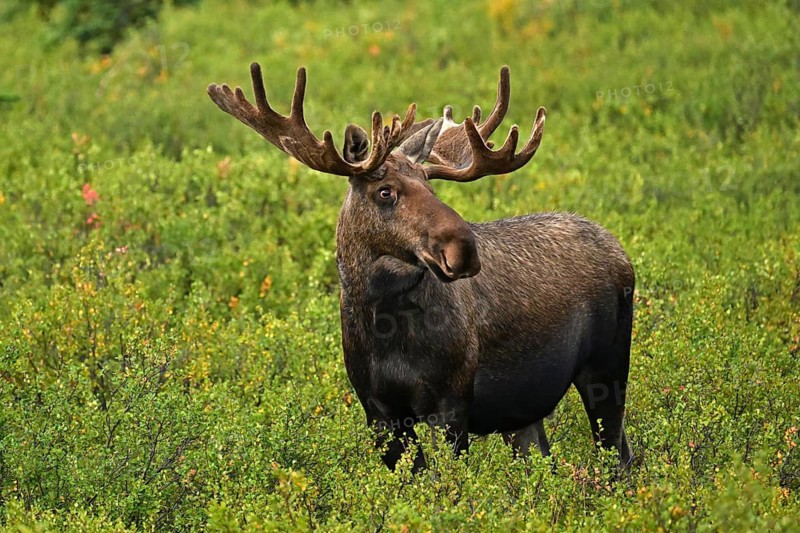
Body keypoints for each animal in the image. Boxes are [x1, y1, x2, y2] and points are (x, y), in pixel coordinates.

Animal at [207, 63, 635, 472]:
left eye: (432, 187)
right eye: (385, 191)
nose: (464, 250)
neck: (384, 323)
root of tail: (620, 250)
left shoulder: (450, 403)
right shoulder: (378, 412)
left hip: (606, 369)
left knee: (621, 458)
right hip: (525, 411)